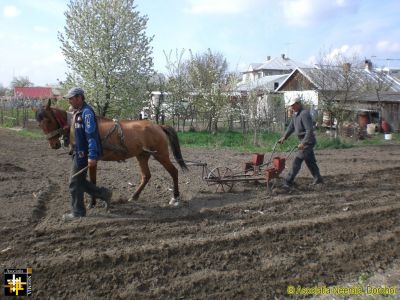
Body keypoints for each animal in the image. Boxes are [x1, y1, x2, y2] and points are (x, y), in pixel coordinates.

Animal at [35, 99, 188, 207]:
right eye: (39, 124)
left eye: (49, 120)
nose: (54, 145)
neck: (78, 125)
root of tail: (158, 126)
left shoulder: (92, 160)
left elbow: (93, 180)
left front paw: (93, 202)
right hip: (142, 155)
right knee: (146, 176)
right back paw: (134, 196)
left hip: (161, 155)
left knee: (174, 171)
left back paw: (175, 197)